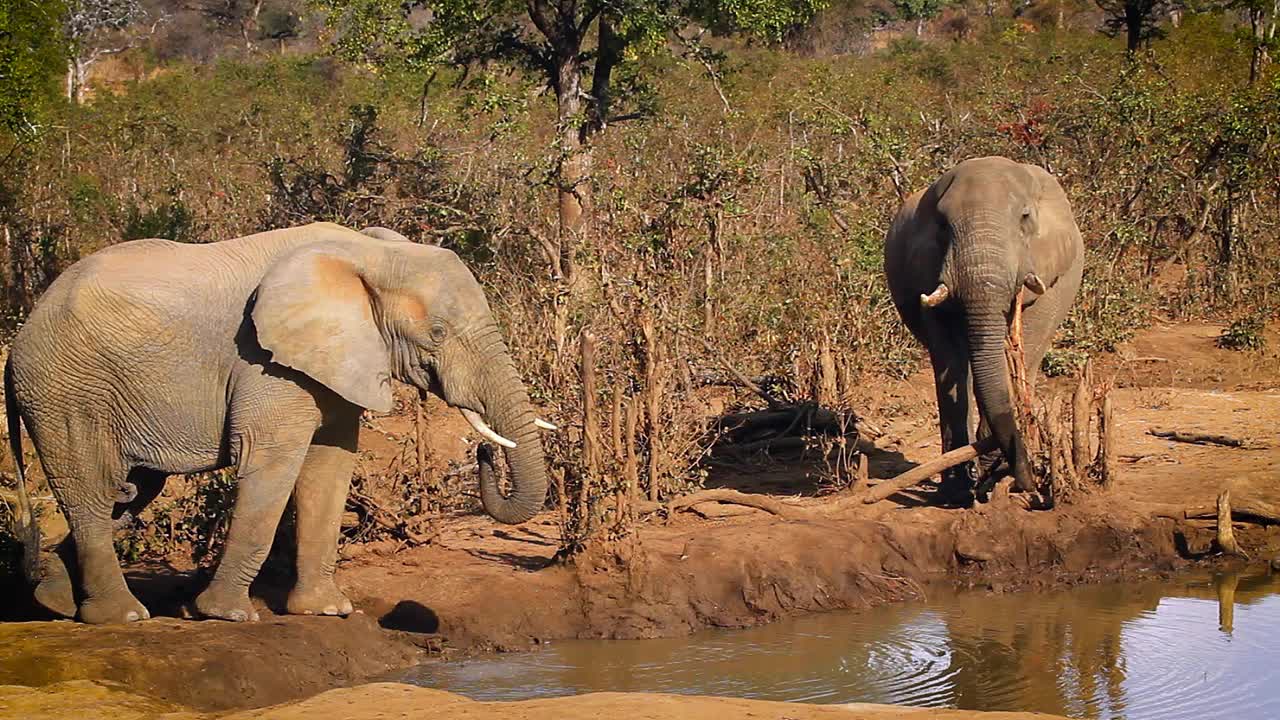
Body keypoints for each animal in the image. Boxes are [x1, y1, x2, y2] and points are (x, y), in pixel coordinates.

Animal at [6, 221, 555, 620]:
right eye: (437, 333)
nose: (485, 450)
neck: (367, 254)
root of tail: (20, 339)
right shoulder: (264, 361)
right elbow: (272, 463)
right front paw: (226, 615)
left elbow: (330, 467)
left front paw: (326, 611)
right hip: (66, 390)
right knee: (93, 490)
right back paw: (122, 617)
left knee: (128, 491)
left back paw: (56, 602)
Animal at [885, 156, 1085, 504]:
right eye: (942, 226)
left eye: (1024, 218)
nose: (1029, 483)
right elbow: (949, 357)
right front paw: (958, 492)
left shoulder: (1053, 277)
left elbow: (1021, 345)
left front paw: (992, 478)